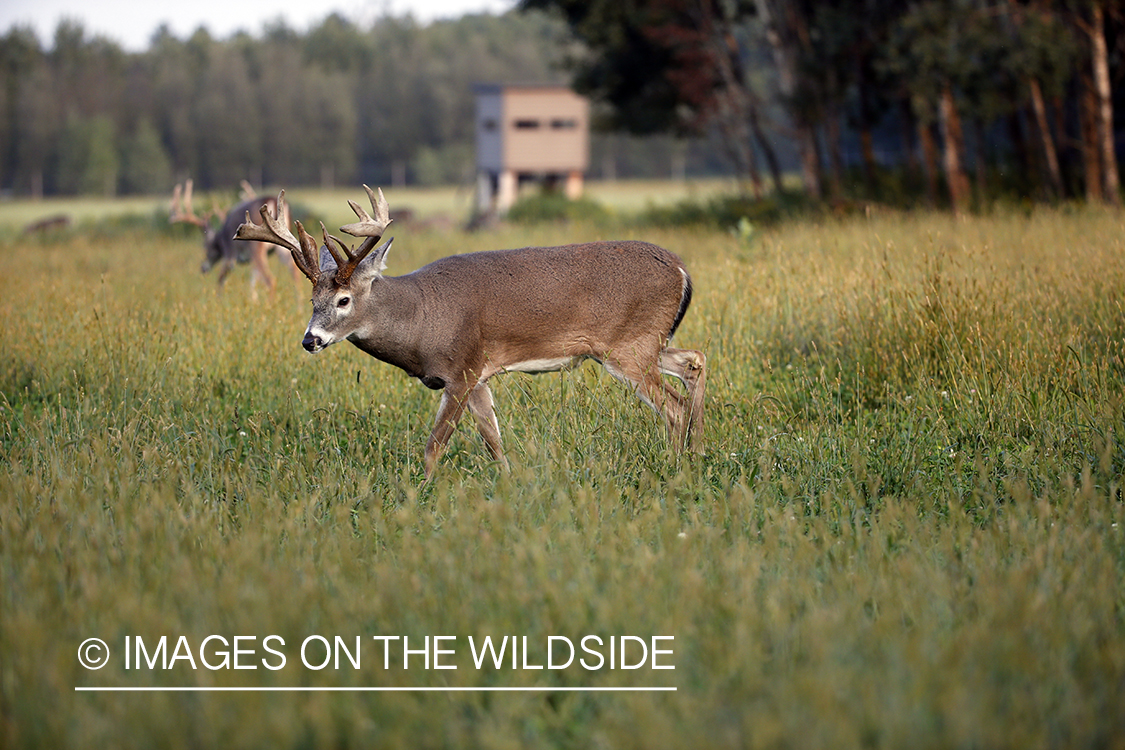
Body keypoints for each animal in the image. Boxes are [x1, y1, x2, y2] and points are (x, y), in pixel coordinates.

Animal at [167, 181, 299, 296]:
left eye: (205, 246)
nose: (203, 268)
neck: (221, 238)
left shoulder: (229, 255)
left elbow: (221, 278)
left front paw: (218, 299)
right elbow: (253, 281)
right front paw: (253, 301)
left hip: (256, 246)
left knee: (271, 280)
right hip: (282, 245)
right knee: (294, 271)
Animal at [234, 187, 706, 481]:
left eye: (344, 300)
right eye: (312, 299)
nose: (310, 340)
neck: (422, 317)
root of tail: (683, 270)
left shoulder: (461, 369)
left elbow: (434, 445)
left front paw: (421, 494)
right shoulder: (479, 376)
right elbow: (494, 440)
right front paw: (510, 485)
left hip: (628, 347)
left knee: (673, 404)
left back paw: (675, 466)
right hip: (648, 341)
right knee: (695, 361)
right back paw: (698, 453)